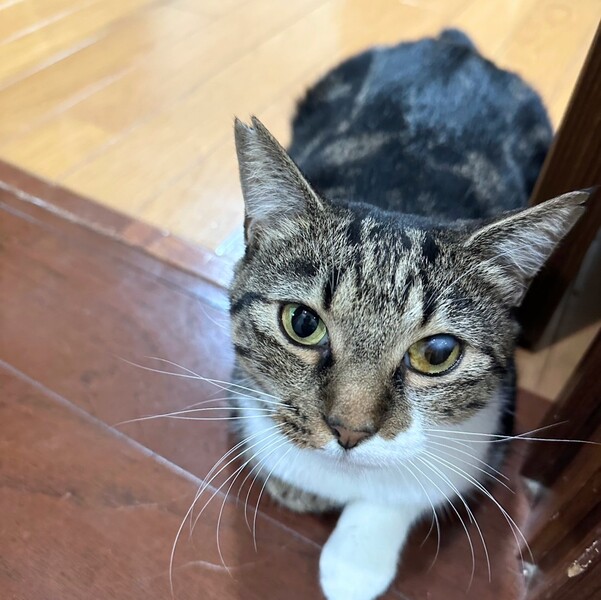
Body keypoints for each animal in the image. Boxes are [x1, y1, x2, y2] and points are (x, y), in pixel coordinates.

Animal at [228, 29, 588, 600]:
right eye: (302, 324)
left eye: (437, 353)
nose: (348, 430)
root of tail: (453, 43)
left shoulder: (485, 435)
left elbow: (411, 492)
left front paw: (353, 563)